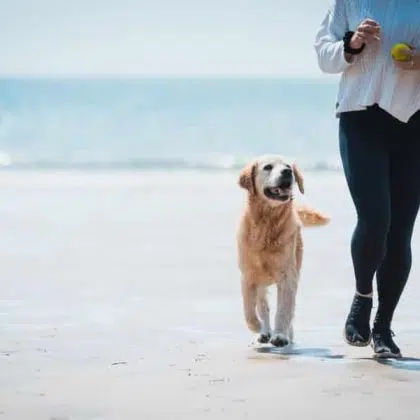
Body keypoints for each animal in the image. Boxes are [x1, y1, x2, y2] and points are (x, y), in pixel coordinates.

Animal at [238, 156, 330, 346]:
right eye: (268, 167)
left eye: (288, 167)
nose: (287, 172)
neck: (267, 223)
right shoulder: (248, 275)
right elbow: (249, 310)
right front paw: (257, 327)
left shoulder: (288, 276)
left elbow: (284, 309)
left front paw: (280, 335)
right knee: (262, 305)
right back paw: (264, 331)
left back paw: (286, 334)